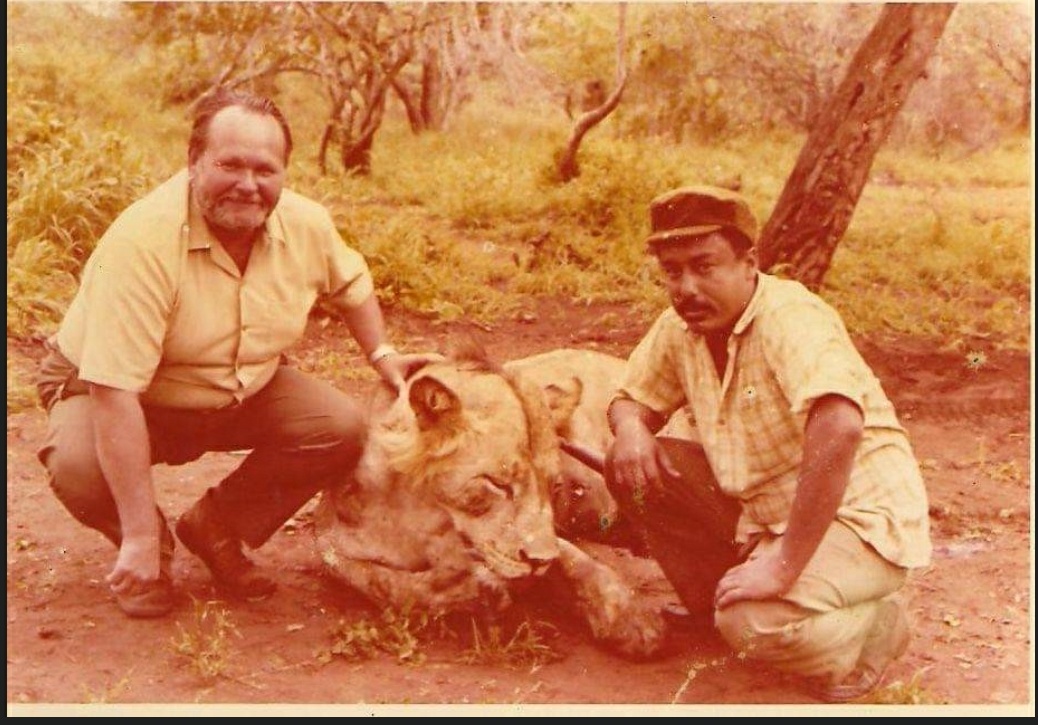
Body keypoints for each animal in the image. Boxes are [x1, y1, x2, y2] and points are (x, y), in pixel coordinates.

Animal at [312, 345, 665, 658]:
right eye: (498, 483)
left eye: (553, 484)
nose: (539, 563)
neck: (424, 514)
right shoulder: (330, 540)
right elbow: (383, 583)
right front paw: (477, 589)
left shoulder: (543, 537)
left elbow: (576, 561)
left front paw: (633, 620)